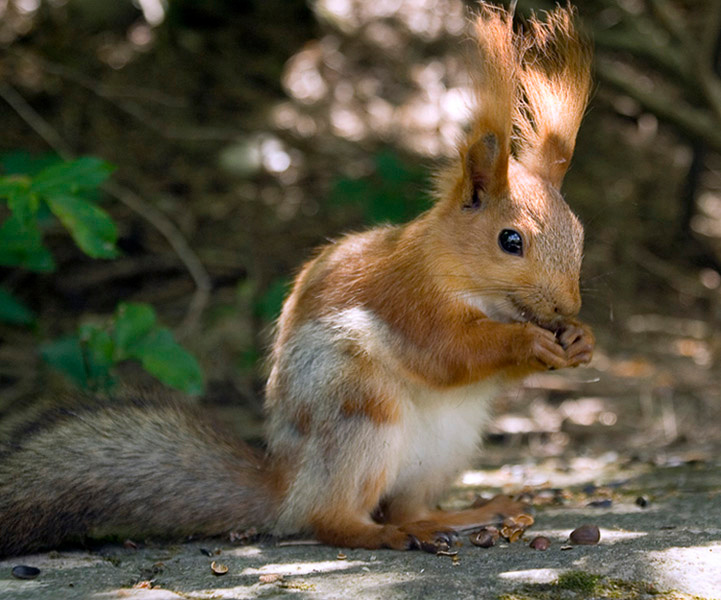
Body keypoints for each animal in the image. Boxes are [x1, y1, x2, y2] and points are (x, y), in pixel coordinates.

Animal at [0, 2, 594, 556]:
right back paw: (385, 534)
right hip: (359, 413)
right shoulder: (409, 300)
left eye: (579, 231)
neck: (468, 283)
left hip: (446, 450)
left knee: (408, 504)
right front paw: (528, 341)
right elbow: (449, 352)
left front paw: (580, 341)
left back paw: (464, 514)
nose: (565, 309)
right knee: (331, 519)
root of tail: (288, 488)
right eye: (510, 241)